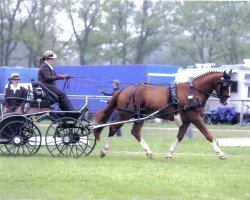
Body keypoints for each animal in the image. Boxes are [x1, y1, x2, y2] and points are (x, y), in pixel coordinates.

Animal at [94, 70, 232, 159]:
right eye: (225, 84)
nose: (226, 101)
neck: (193, 93)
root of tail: (123, 89)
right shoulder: (195, 118)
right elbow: (208, 135)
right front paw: (221, 154)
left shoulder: (186, 120)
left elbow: (180, 136)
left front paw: (169, 153)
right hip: (125, 115)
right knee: (113, 128)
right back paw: (104, 151)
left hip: (140, 116)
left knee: (135, 132)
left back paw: (149, 152)